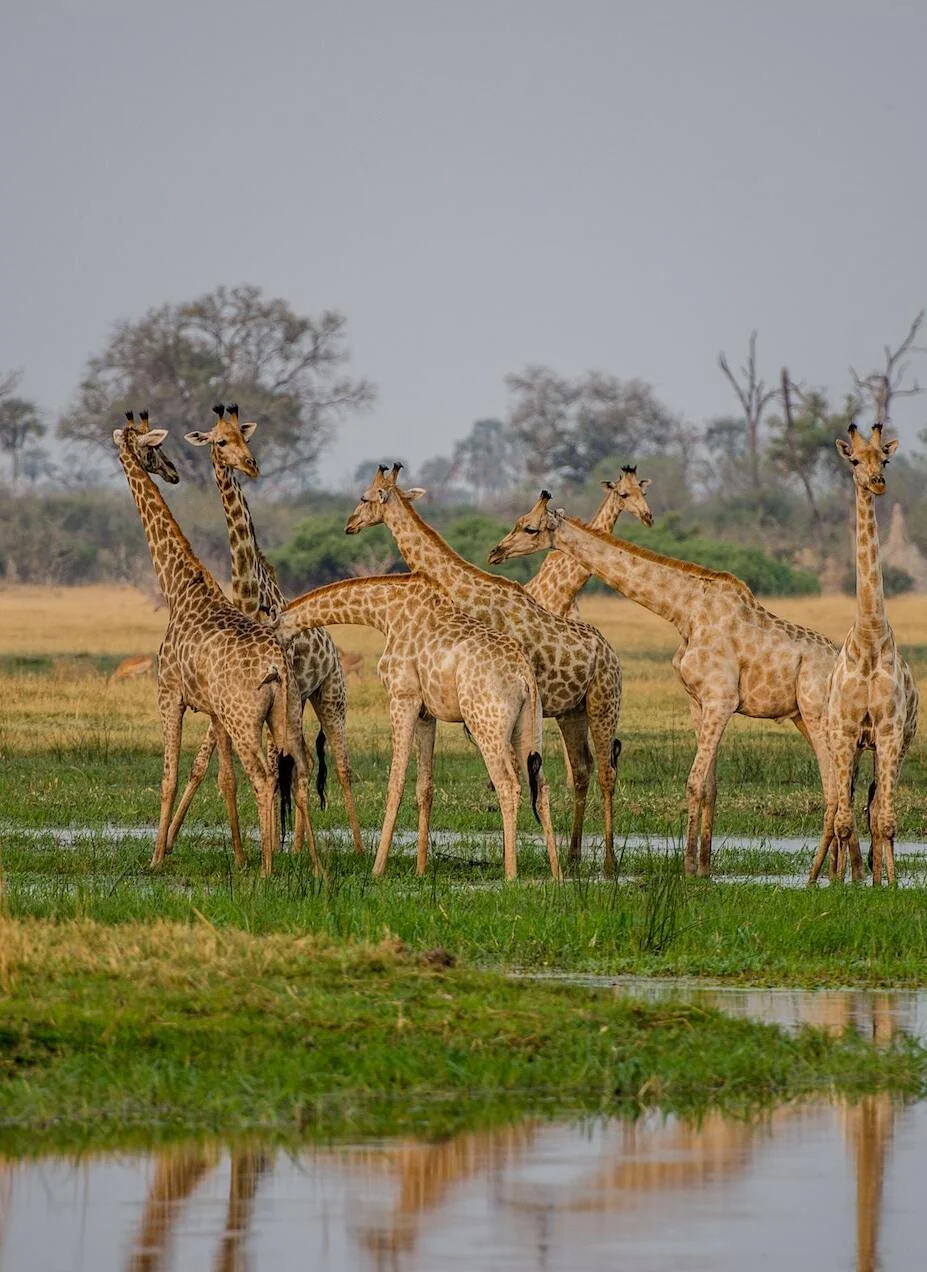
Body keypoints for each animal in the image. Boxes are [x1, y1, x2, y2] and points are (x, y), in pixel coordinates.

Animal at [113, 414, 319, 877]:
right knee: (298, 771)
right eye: (156, 447)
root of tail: (276, 665)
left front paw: (156, 857)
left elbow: (169, 776)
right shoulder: (213, 709)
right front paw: (238, 856)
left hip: (245, 718)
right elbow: (223, 777)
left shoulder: (169, 693)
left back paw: (268, 868)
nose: (173, 472)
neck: (178, 587)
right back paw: (314, 865)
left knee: (264, 775)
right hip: (283, 714)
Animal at [164, 404, 363, 856]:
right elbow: (203, 762)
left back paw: (352, 849)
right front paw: (171, 840)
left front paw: (267, 845)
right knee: (302, 757)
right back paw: (297, 845)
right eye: (221, 440)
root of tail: (332, 647)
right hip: (297, 700)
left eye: (246, 436)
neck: (249, 595)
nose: (251, 465)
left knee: (338, 765)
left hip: (329, 694)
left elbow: (270, 766)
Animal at [276, 574, 562, 881]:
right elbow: (425, 786)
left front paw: (378, 868)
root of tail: (525, 675)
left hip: (486, 724)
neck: (386, 614)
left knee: (507, 785)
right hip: (528, 726)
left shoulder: (403, 697)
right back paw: (556, 872)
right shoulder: (427, 713)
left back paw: (510, 874)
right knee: (542, 786)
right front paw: (421, 868)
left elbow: (396, 782)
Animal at [345, 465, 623, 873]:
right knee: (583, 770)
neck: (467, 593)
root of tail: (612, 655)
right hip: (572, 712)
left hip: (603, 703)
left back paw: (608, 863)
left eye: (364, 497)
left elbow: (513, 779)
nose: (350, 524)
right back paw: (573, 856)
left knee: (606, 772)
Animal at [488, 491, 852, 878]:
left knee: (835, 787)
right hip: (802, 717)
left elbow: (693, 782)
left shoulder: (721, 699)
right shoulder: (699, 701)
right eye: (518, 520)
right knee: (842, 784)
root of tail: (839, 663)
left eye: (530, 527)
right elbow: (709, 785)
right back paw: (839, 871)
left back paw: (824, 874)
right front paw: (704, 865)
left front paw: (688, 865)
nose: (496, 552)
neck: (684, 612)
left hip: (817, 715)